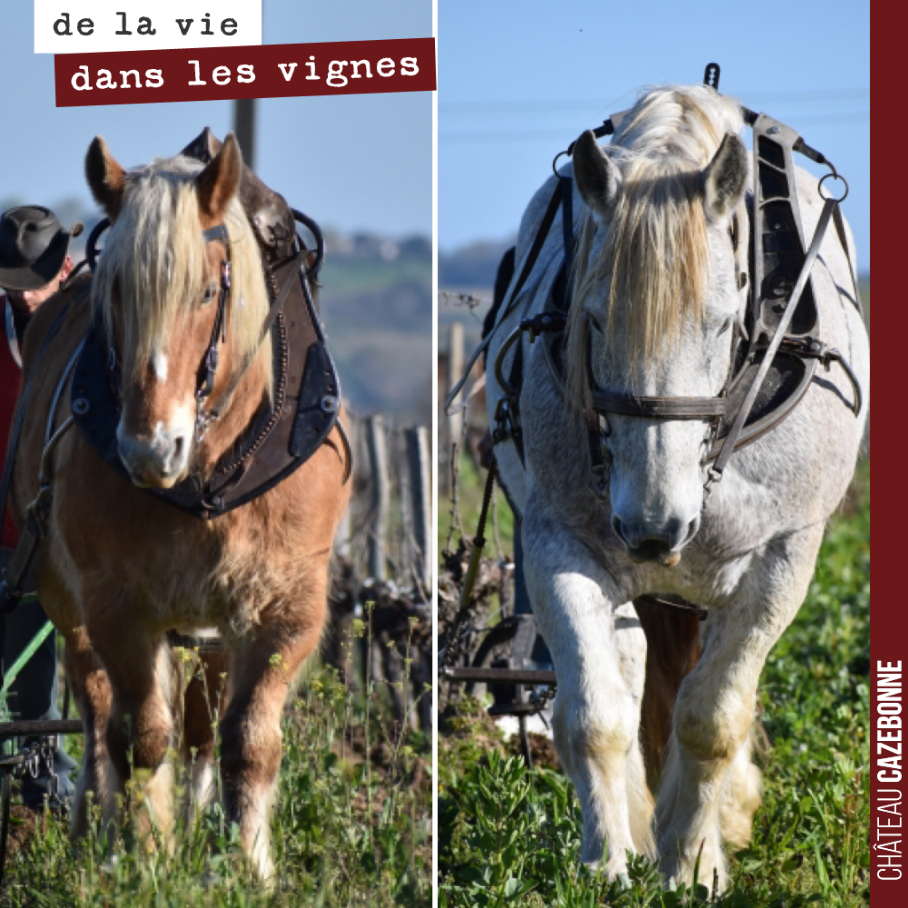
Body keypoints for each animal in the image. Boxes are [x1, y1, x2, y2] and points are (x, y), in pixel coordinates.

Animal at [8, 133, 350, 880]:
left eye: (206, 290)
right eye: (112, 294)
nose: (149, 448)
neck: (209, 475)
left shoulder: (285, 606)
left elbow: (247, 740)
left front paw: (248, 866)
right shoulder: (117, 606)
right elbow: (140, 736)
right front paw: (144, 856)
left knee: (201, 728)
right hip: (64, 598)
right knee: (98, 717)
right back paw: (92, 832)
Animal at [484, 85, 868, 890]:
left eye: (722, 324)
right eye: (594, 321)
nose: (654, 528)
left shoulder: (783, 558)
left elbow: (712, 717)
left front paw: (692, 866)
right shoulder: (558, 544)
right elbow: (594, 714)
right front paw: (605, 865)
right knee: (629, 681)